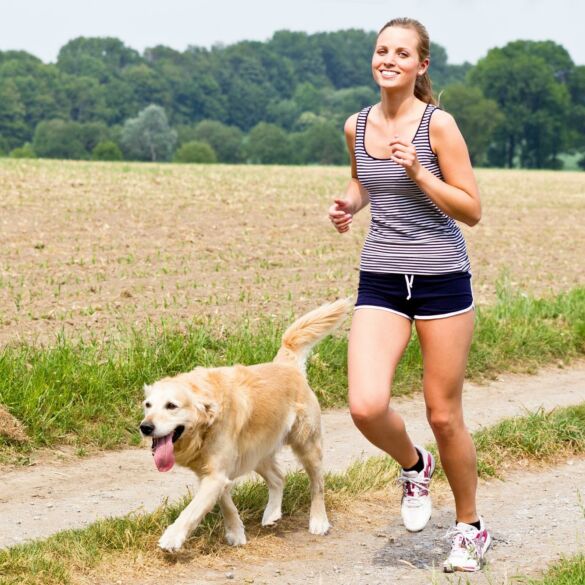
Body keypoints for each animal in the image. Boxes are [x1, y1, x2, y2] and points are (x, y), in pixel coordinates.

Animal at [140, 298, 352, 548]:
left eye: (171, 406)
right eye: (147, 405)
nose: (145, 427)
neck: (206, 425)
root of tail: (286, 365)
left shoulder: (216, 474)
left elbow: (192, 510)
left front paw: (172, 537)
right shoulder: (213, 472)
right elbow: (226, 504)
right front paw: (236, 533)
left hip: (307, 443)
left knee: (317, 484)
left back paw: (319, 521)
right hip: (256, 451)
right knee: (279, 478)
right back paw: (272, 514)